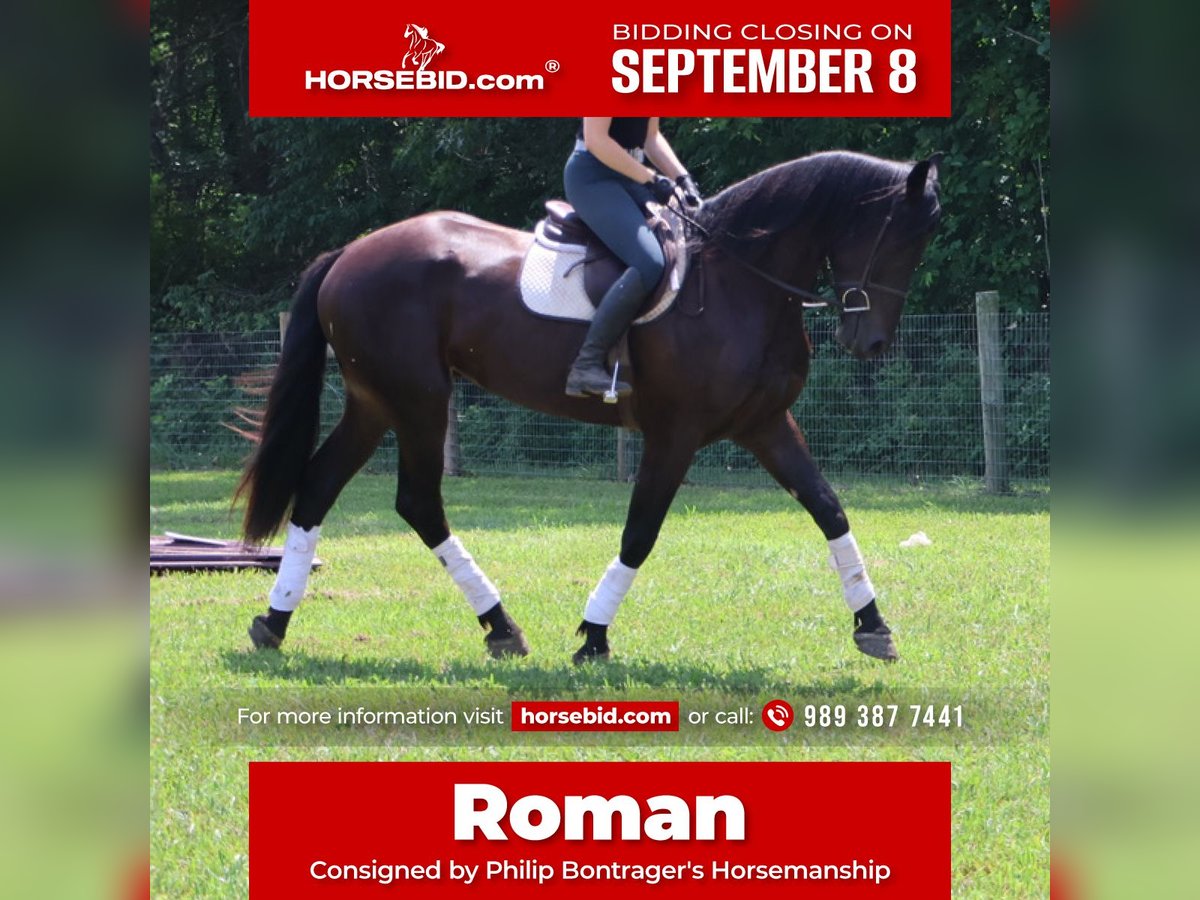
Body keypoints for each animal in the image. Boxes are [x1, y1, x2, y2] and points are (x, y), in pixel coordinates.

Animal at [236, 150, 943, 665]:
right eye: (896, 239)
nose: (870, 342)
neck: (740, 280)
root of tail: (348, 254)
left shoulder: (765, 425)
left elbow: (829, 509)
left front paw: (873, 625)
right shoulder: (674, 435)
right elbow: (640, 532)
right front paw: (594, 637)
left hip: (375, 402)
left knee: (319, 486)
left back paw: (275, 620)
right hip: (418, 400)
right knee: (418, 502)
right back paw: (500, 625)